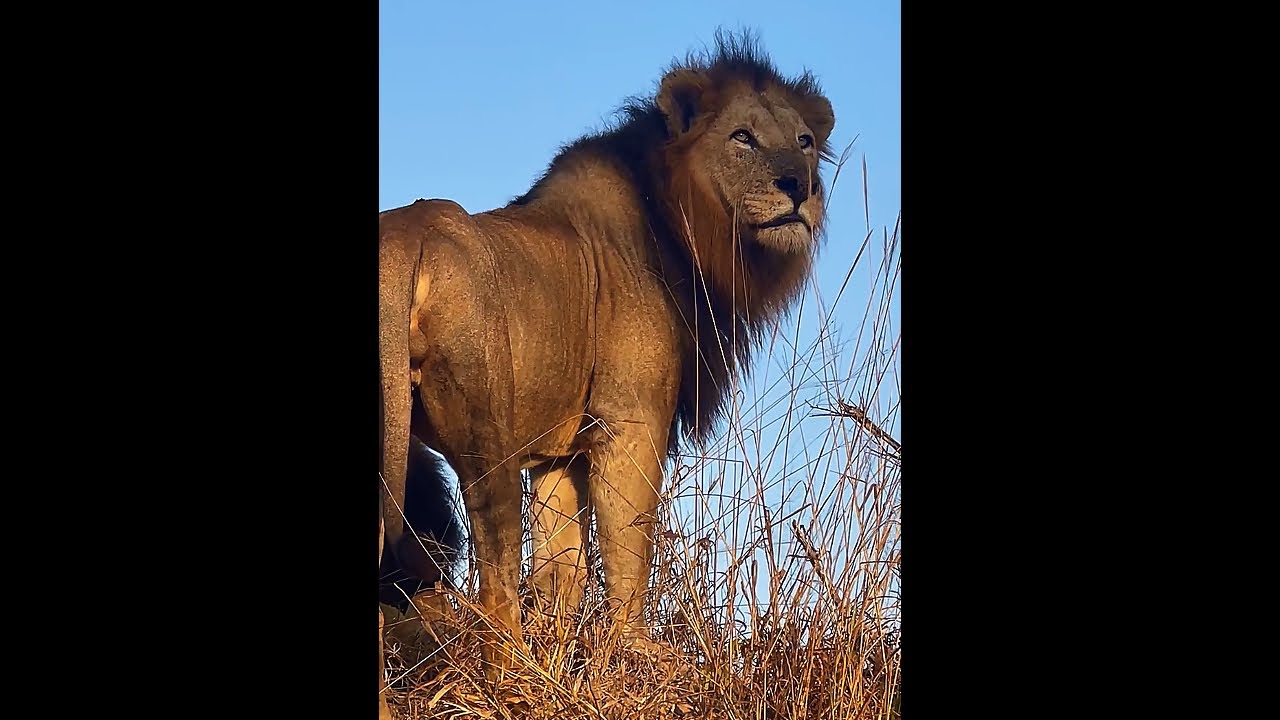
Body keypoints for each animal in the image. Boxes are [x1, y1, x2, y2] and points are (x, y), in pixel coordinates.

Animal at [378, 30, 835, 710]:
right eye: (743, 137)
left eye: (805, 141)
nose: (798, 185)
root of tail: (404, 241)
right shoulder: (630, 420)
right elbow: (628, 543)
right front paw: (636, 654)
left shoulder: (557, 452)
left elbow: (561, 568)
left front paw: (564, 658)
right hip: (485, 430)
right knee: (496, 582)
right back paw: (511, 679)